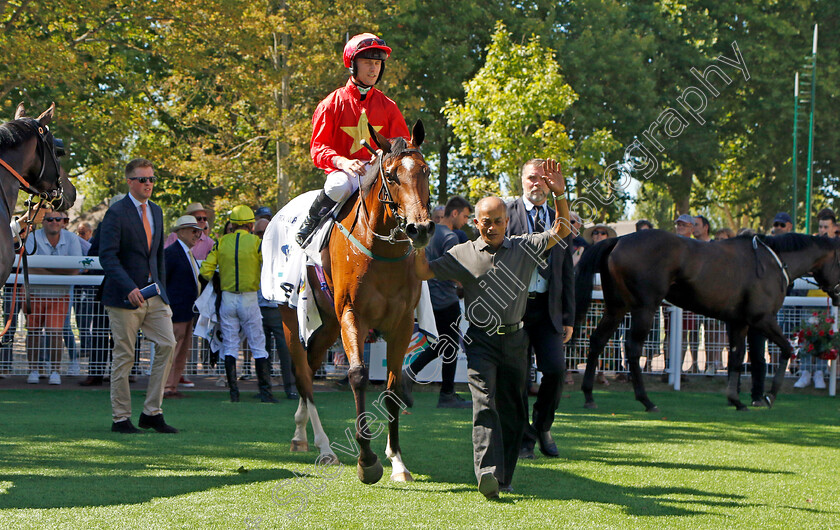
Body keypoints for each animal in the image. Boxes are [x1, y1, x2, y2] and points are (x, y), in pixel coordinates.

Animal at [278, 120, 434, 482]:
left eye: (425, 170)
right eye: (391, 174)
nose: (419, 228)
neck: (382, 251)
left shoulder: (402, 323)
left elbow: (393, 386)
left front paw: (398, 461)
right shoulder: (353, 315)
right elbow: (358, 376)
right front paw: (367, 460)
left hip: (327, 324)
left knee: (311, 363)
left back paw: (300, 434)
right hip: (291, 317)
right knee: (303, 374)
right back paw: (323, 447)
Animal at [576, 230, 840, 408]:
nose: (838, 296)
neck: (772, 262)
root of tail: (619, 239)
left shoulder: (739, 323)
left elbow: (736, 358)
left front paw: (736, 400)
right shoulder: (762, 319)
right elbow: (786, 349)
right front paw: (769, 395)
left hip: (616, 308)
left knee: (597, 341)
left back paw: (588, 395)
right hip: (645, 308)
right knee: (632, 348)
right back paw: (646, 400)